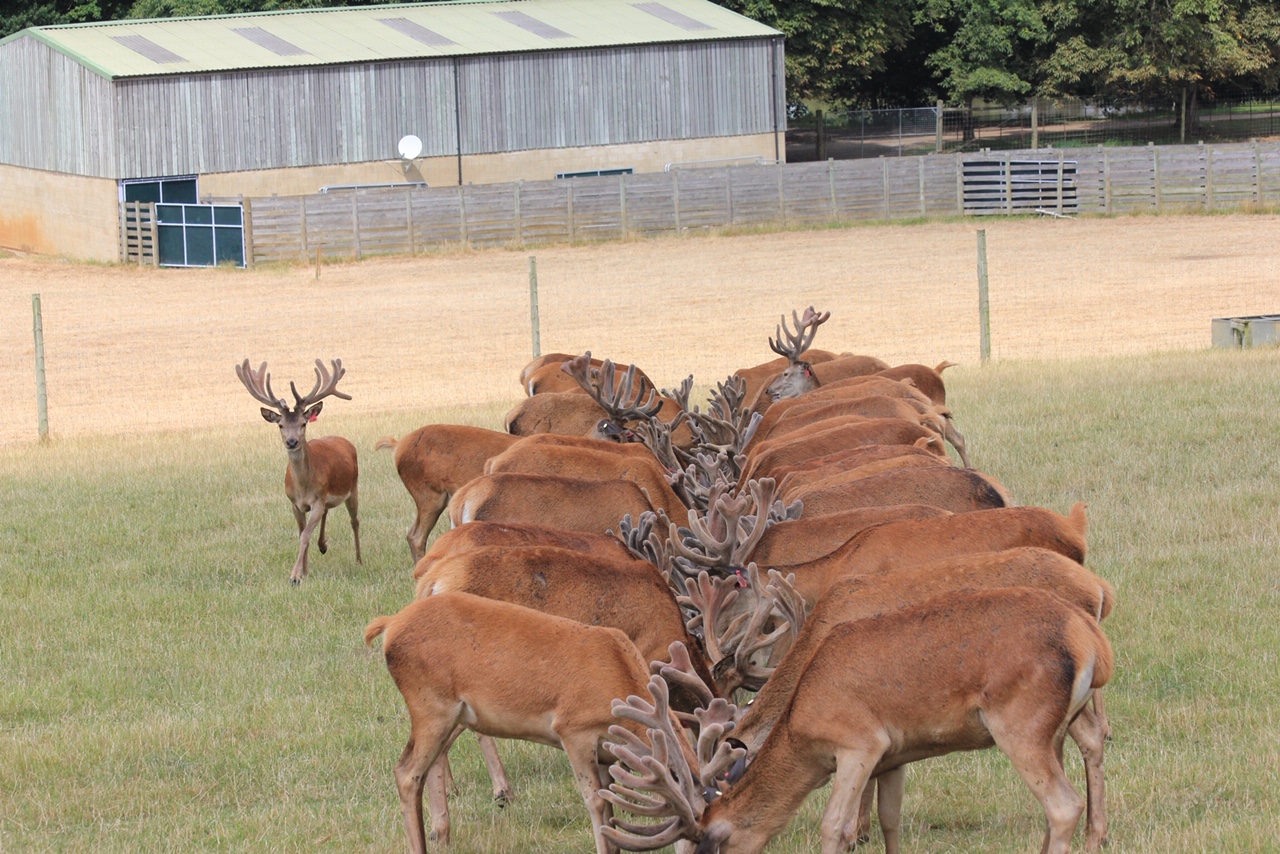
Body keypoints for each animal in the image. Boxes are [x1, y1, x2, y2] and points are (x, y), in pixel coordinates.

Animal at [235, 358, 360, 583]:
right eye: (280, 425)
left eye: (303, 423)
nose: (292, 441)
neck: (304, 487)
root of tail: (344, 440)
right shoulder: (295, 503)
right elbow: (302, 533)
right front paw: (304, 571)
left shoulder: (318, 499)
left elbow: (305, 535)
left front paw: (294, 575)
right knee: (328, 513)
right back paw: (323, 545)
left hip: (353, 487)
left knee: (354, 521)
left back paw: (358, 560)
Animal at [604, 588, 1116, 854]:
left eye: (710, 842)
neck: (802, 722)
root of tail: (1092, 641)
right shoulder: (897, 752)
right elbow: (890, 819)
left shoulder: (859, 744)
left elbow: (836, 826)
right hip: (1061, 721)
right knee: (1084, 754)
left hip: (1020, 724)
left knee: (1062, 805)